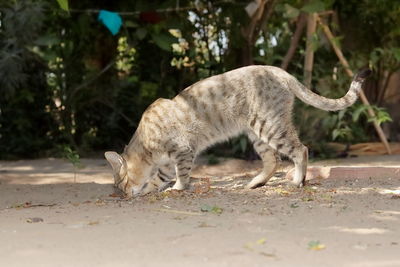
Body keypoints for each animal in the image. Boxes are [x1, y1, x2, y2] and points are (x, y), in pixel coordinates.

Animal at [104, 66, 370, 198]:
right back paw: (255, 183)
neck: (146, 143)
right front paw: (149, 190)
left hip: (270, 126)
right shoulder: (169, 161)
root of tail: (281, 71)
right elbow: (159, 177)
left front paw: (177, 189)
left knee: (300, 150)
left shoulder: (182, 152)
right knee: (273, 160)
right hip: (257, 133)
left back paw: (297, 181)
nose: (123, 195)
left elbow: (180, 175)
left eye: (120, 182)